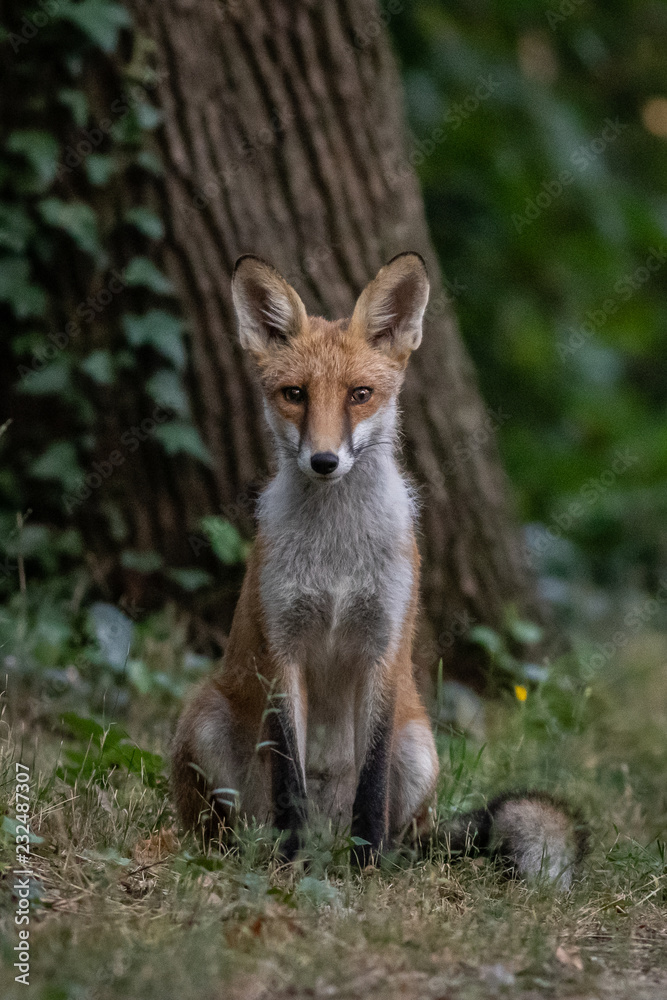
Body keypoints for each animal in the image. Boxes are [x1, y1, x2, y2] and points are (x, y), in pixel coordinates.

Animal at [174, 254, 588, 888]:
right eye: (294, 394)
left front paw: (365, 871)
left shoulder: (383, 647)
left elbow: (371, 784)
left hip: (419, 749)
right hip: (206, 721)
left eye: (360, 395)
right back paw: (264, 853)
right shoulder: (281, 651)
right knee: (239, 823)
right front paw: (290, 869)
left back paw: (377, 857)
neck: (337, 560)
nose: (324, 461)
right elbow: (290, 782)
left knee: (399, 827)